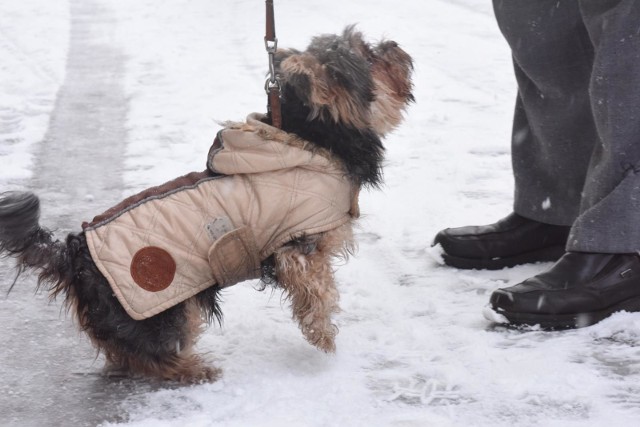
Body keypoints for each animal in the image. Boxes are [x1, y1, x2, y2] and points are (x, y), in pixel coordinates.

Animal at [0, 25, 410, 382]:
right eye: (368, 55)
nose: (393, 45)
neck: (311, 140)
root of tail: (73, 252)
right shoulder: (299, 245)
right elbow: (318, 290)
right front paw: (323, 336)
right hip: (156, 308)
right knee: (154, 353)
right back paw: (194, 369)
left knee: (124, 352)